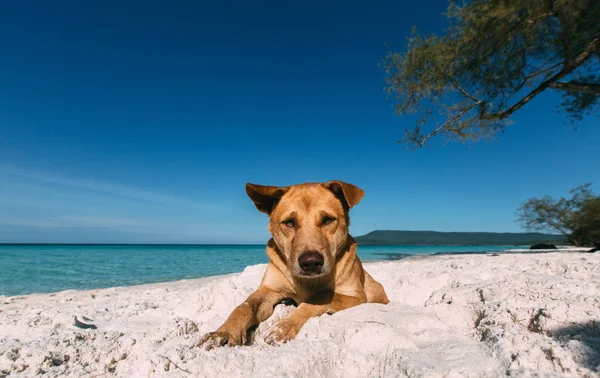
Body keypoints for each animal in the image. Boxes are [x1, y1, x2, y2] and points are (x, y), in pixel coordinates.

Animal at [199, 181, 392, 348]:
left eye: (328, 220)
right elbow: (244, 306)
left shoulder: (355, 296)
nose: (311, 263)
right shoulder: (268, 291)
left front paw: (283, 327)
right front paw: (223, 332)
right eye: (289, 222)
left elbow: (320, 297)